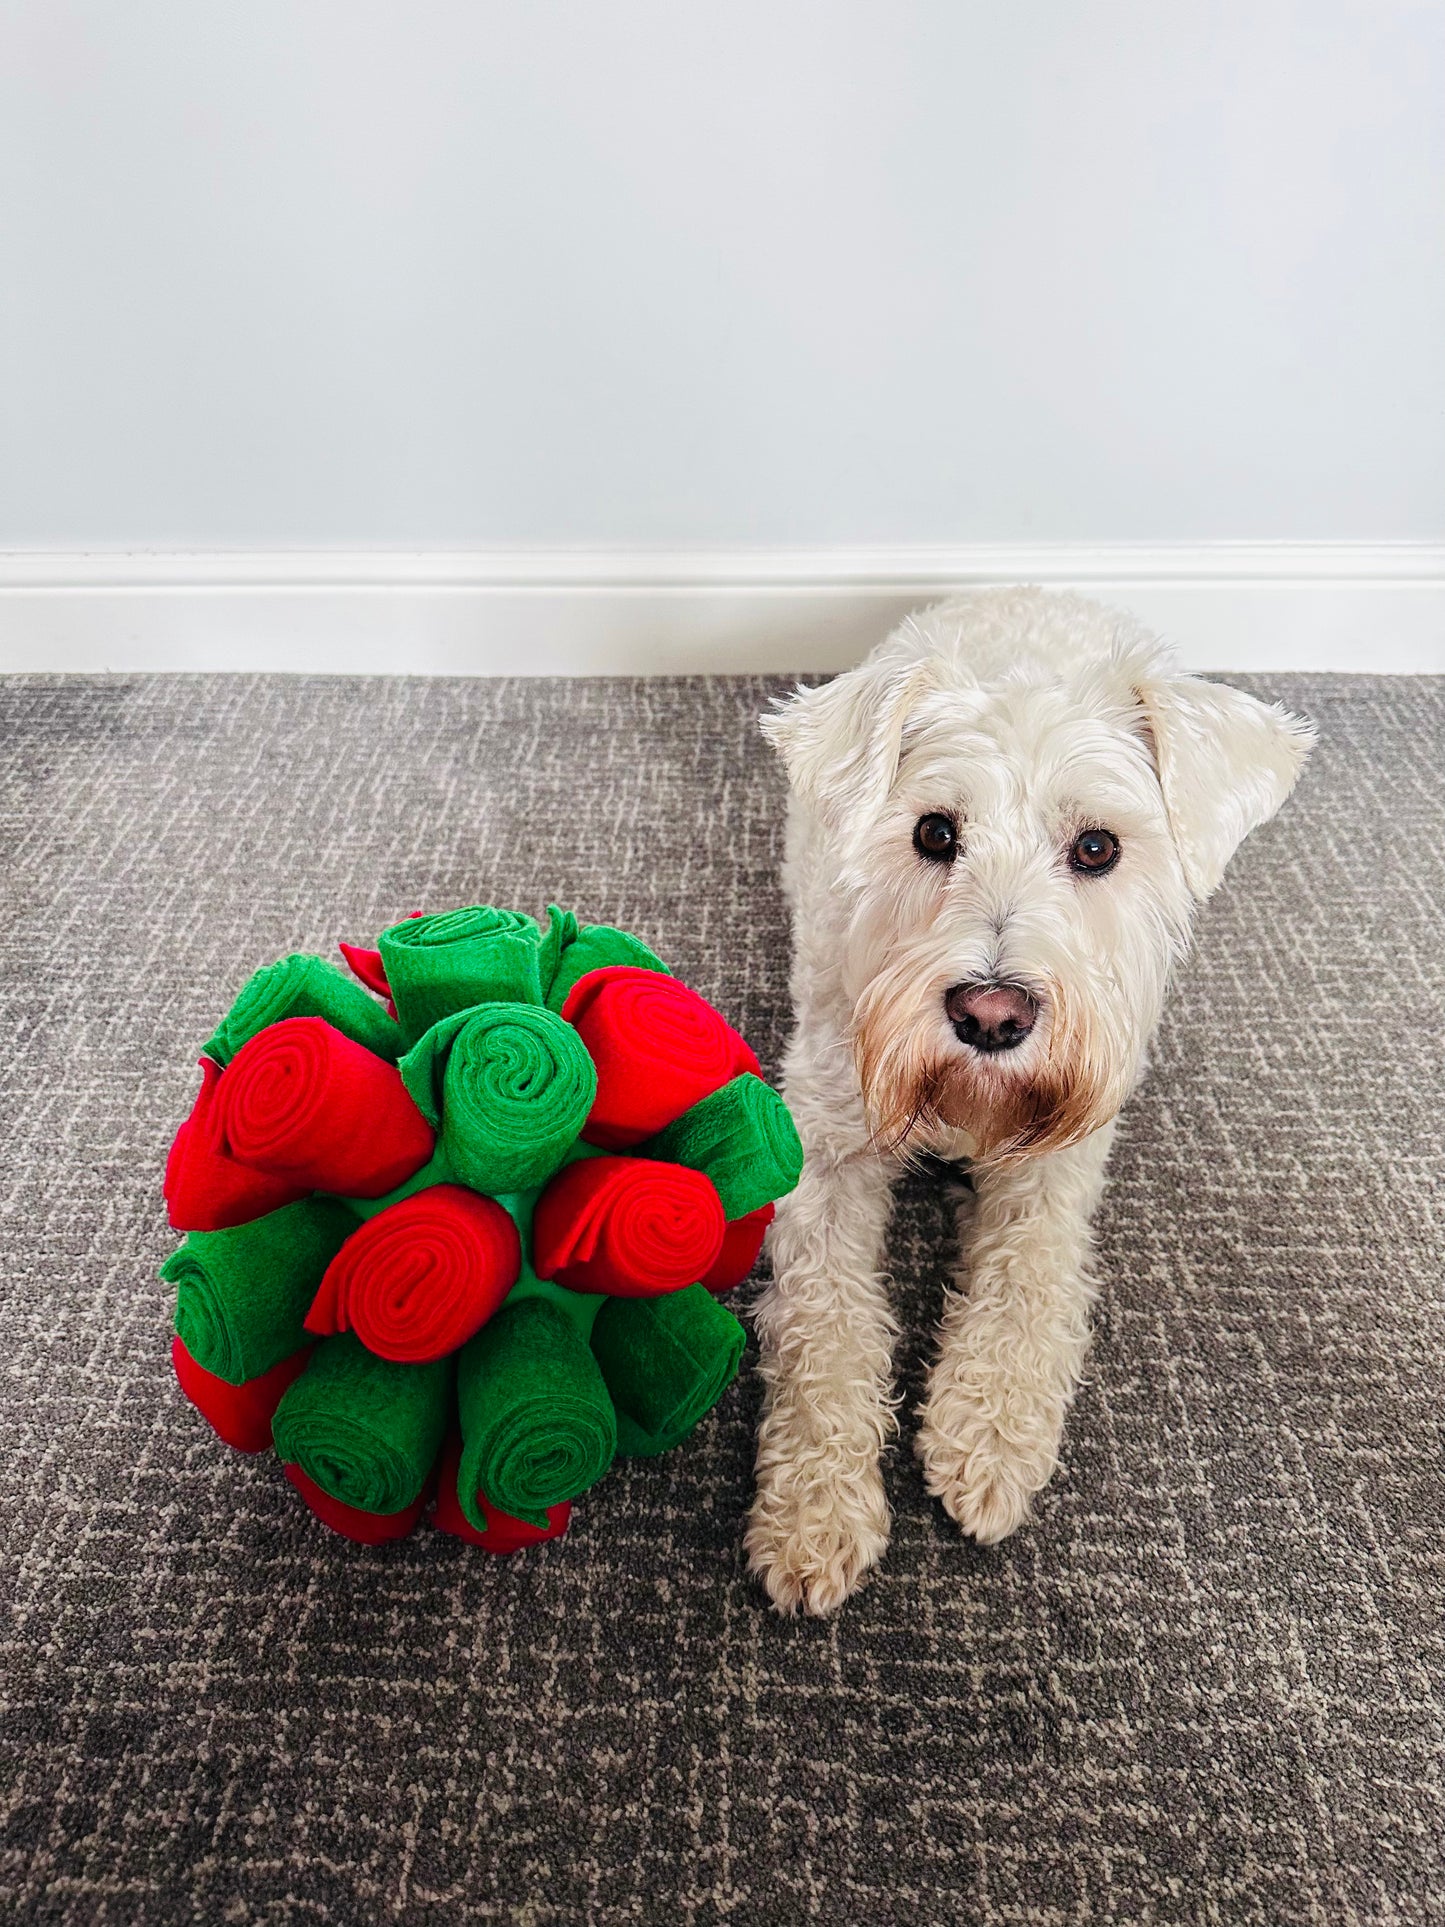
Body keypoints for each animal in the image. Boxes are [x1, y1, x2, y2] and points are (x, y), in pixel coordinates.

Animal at [751, 593, 1317, 1618]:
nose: (991, 1013)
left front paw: (988, 1430)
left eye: (1096, 847)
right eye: (934, 832)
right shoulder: (824, 1148)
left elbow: (1030, 1279)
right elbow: (825, 1321)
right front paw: (814, 1507)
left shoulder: (1057, 1160)